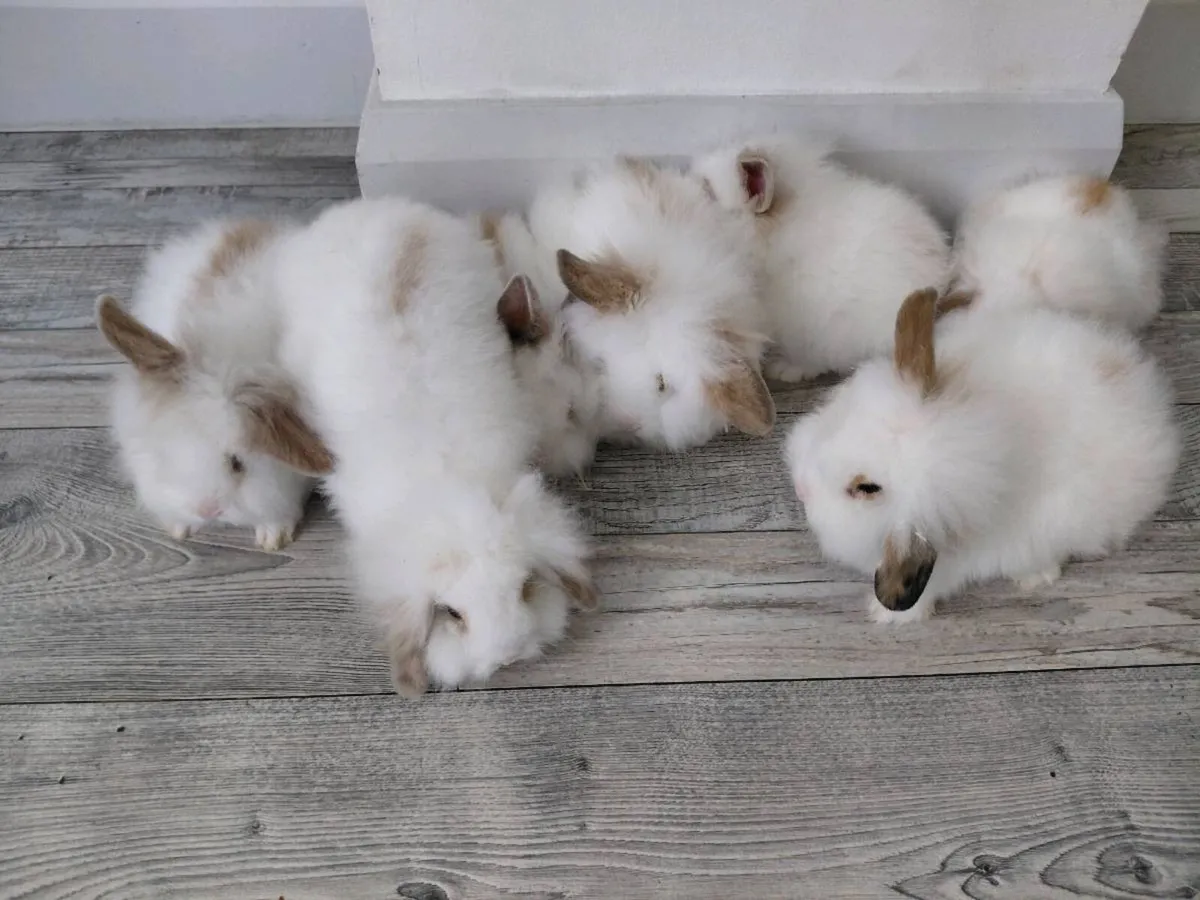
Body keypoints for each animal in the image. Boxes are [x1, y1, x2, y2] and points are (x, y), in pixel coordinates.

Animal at [786, 288, 1179, 624]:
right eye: (844, 415)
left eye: (866, 488)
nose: (801, 488)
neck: (990, 434)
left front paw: (885, 615)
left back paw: (1034, 577)